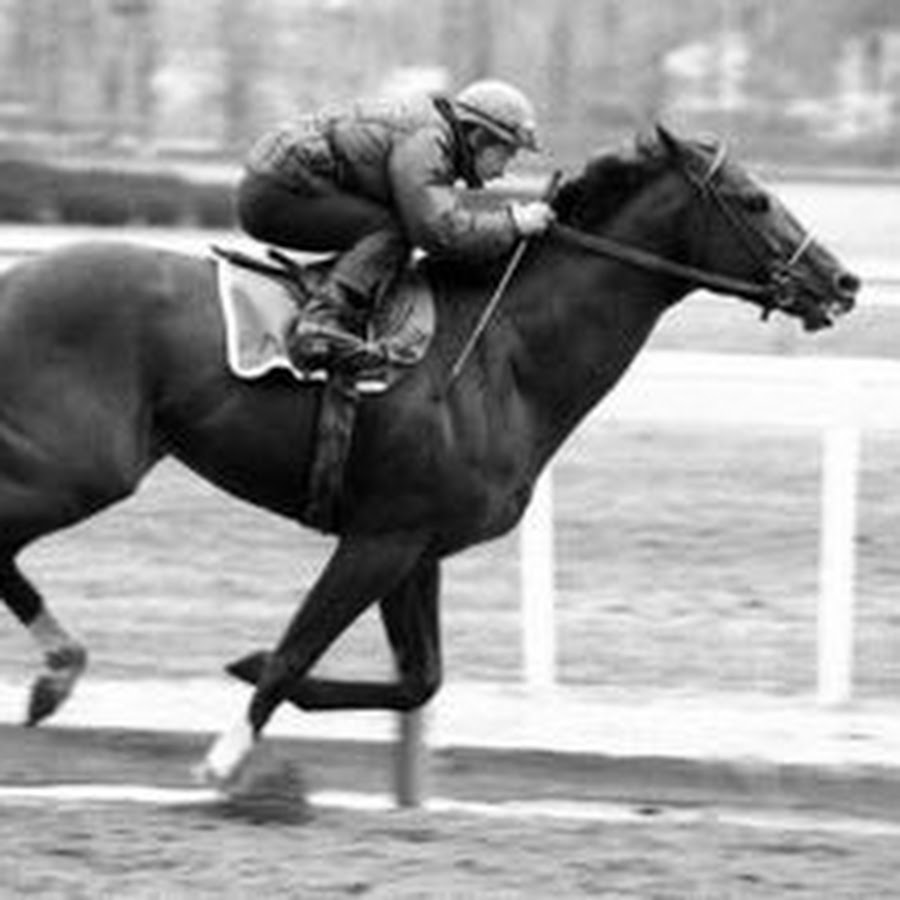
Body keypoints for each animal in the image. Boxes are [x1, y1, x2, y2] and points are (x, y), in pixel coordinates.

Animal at [0, 126, 858, 787]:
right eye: (754, 200)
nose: (843, 280)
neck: (504, 354)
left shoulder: (417, 544)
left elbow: (418, 679)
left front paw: (248, 667)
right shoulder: (379, 537)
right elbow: (298, 651)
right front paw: (223, 759)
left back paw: (58, 671)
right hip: (78, 469)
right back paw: (60, 669)